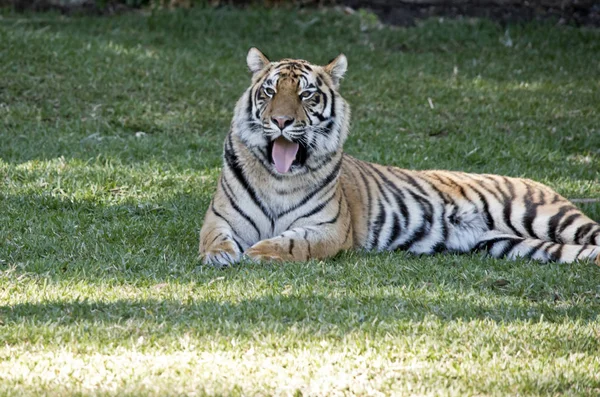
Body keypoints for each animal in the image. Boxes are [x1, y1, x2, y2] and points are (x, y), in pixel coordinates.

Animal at [199, 48, 600, 268]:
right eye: (269, 92)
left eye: (306, 95)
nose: (281, 121)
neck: (277, 176)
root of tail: (542, 183)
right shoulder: (220, 218)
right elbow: (215, 239)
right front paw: (221, 256)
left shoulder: (328, 228)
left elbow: (294, 242)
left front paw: (259, 252)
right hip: (513, 245)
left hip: (548, 217)